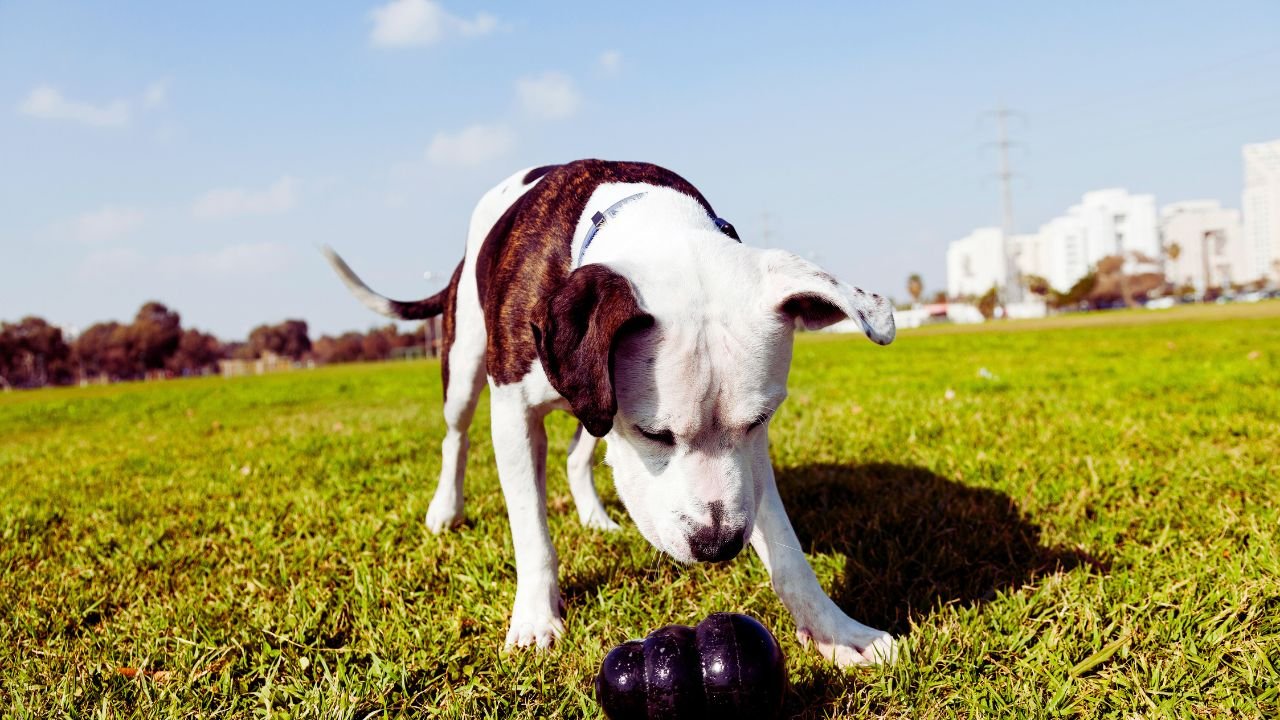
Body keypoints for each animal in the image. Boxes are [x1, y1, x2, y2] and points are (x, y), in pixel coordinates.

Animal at [325, 159, 896, 666]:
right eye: (654, 434)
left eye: (760, 422)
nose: (716, 545)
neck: (652, 222)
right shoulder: (515, 413)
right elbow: (530, 529)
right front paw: (535, 618)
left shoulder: (745, 457)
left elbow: (786, 548)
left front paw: (837, 631)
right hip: (466, 360)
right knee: (455, 435)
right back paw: (446, 508)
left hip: (589, 398)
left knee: (578, 454)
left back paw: (594, 517)